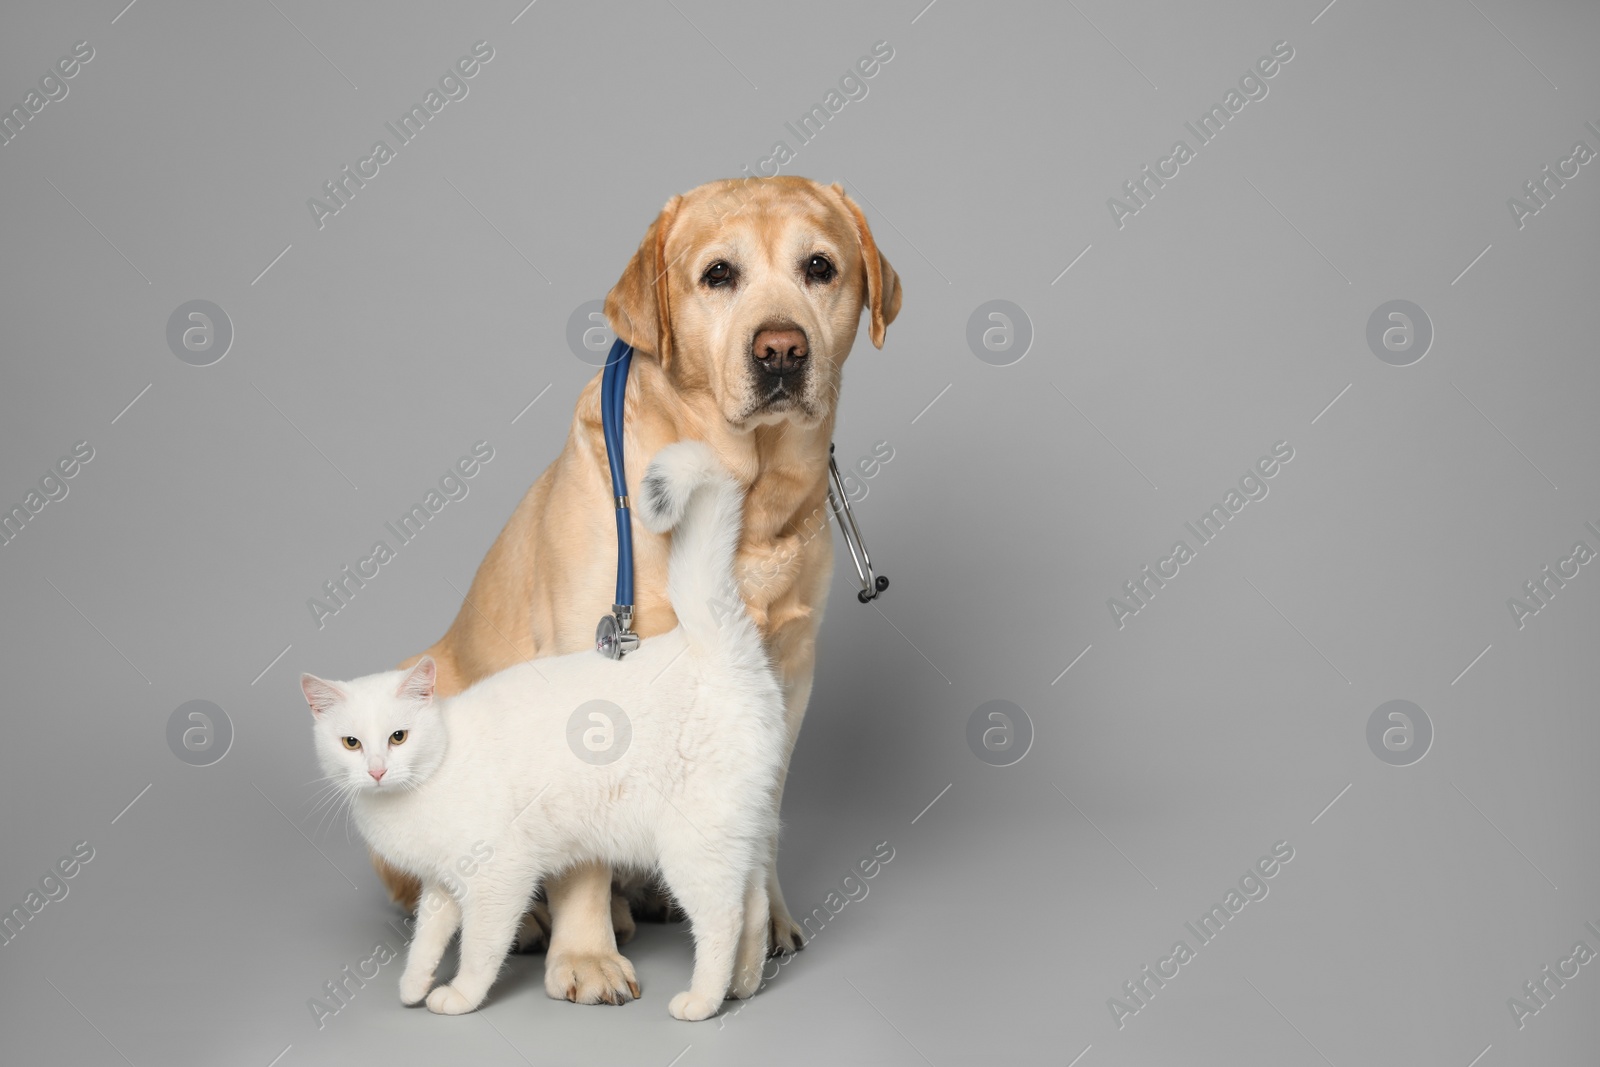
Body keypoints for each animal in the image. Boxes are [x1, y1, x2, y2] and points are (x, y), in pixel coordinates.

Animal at [300, 441, 787, 1017]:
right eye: (351, 743)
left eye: (399, 737)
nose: (376, 770)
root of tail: (715, 646)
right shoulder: (442, 886)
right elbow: (428, 939)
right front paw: (413, 988)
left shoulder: (498, 878)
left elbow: (480, 948)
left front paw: (458, 997)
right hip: (741, 834)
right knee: (755, 905)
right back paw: (743, 986)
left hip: (692, 847)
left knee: (723, 918)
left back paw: (702, 1001)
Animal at [377, 171, 902, 1004]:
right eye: (718, 274)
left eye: (820, 266)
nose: (782, 350)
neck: (746, 500)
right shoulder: (586, 668)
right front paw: (586, 957)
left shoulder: (787, 678)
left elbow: (762, 811)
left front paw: (763, 921)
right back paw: (540, 920)